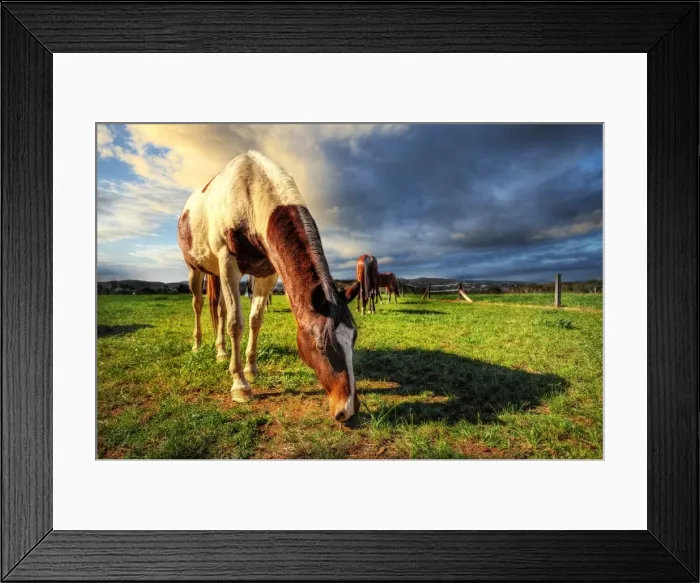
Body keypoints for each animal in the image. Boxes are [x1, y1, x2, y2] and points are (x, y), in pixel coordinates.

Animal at [177, 150, 360, 422]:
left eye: (354, 338)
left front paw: (251, 368)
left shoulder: (267, 274)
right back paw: (198, 346)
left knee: (219, 308)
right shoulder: (228, 263)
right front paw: (240, 385)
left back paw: (221, 352)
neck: (250, 195)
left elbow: (255, 320)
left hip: (216, 274)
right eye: (320, 345)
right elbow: (236, 323)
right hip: (196, 269)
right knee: (199, 305)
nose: (347, 409)